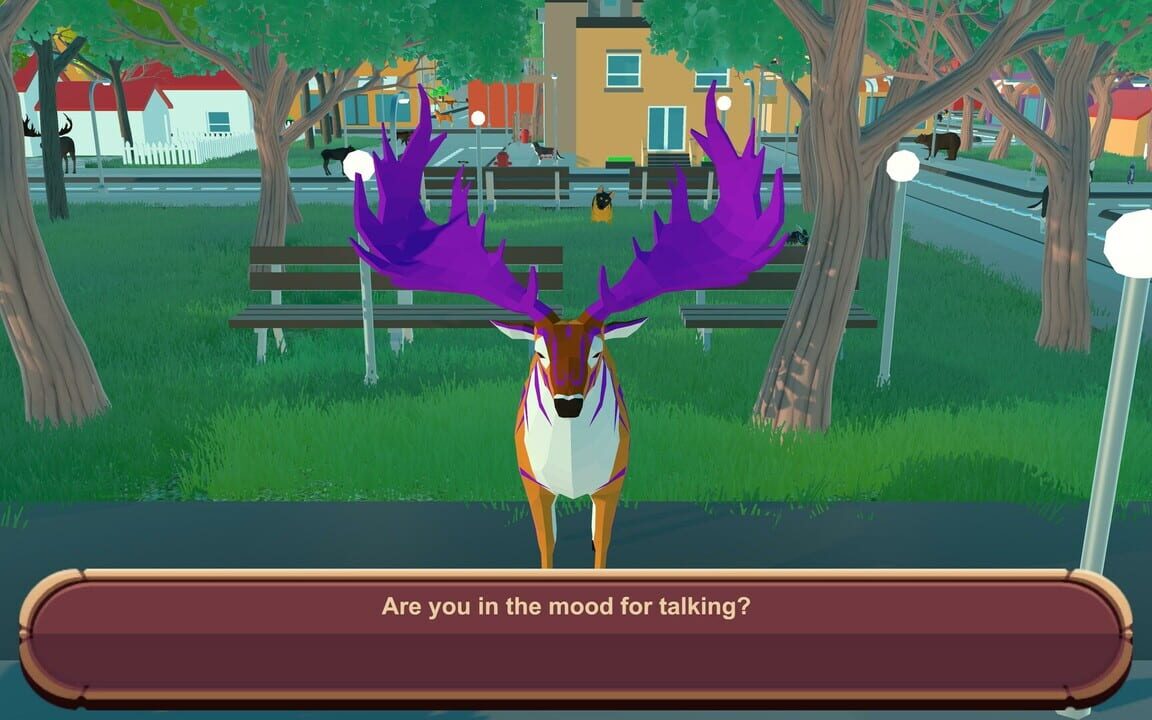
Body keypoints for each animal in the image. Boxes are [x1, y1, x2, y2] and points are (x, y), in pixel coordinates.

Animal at [349, 84, 787, 569]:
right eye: (540, 351)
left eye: (596, 351)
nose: (568, 405)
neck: (573, 472)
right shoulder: (530, 480)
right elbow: (547, 548)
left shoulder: (615, 480)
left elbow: (602, 549)